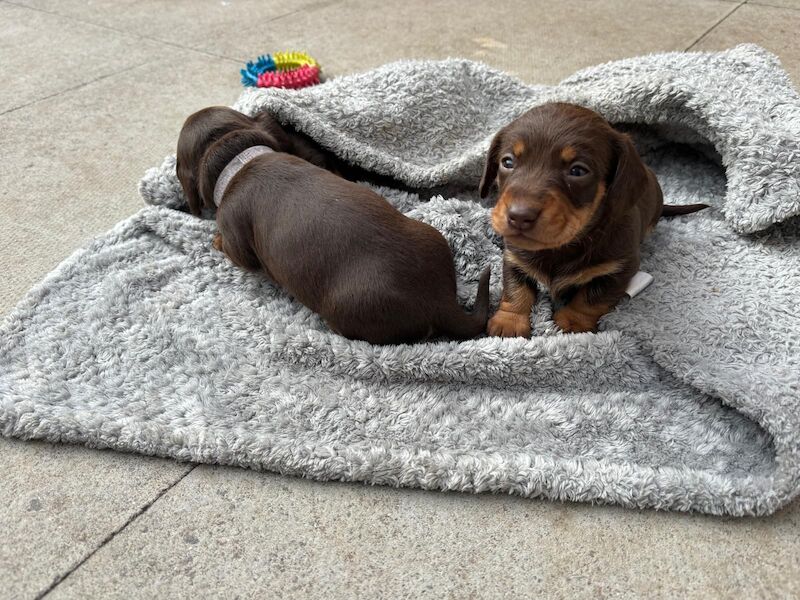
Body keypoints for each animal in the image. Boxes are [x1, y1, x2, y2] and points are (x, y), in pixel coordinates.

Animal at [177, 105, 488, 344]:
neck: (240, 161)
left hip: (344, 312)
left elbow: (235, 252)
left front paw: (215, 240)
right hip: (432, 235)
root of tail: (440, 302)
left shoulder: (234, 233)